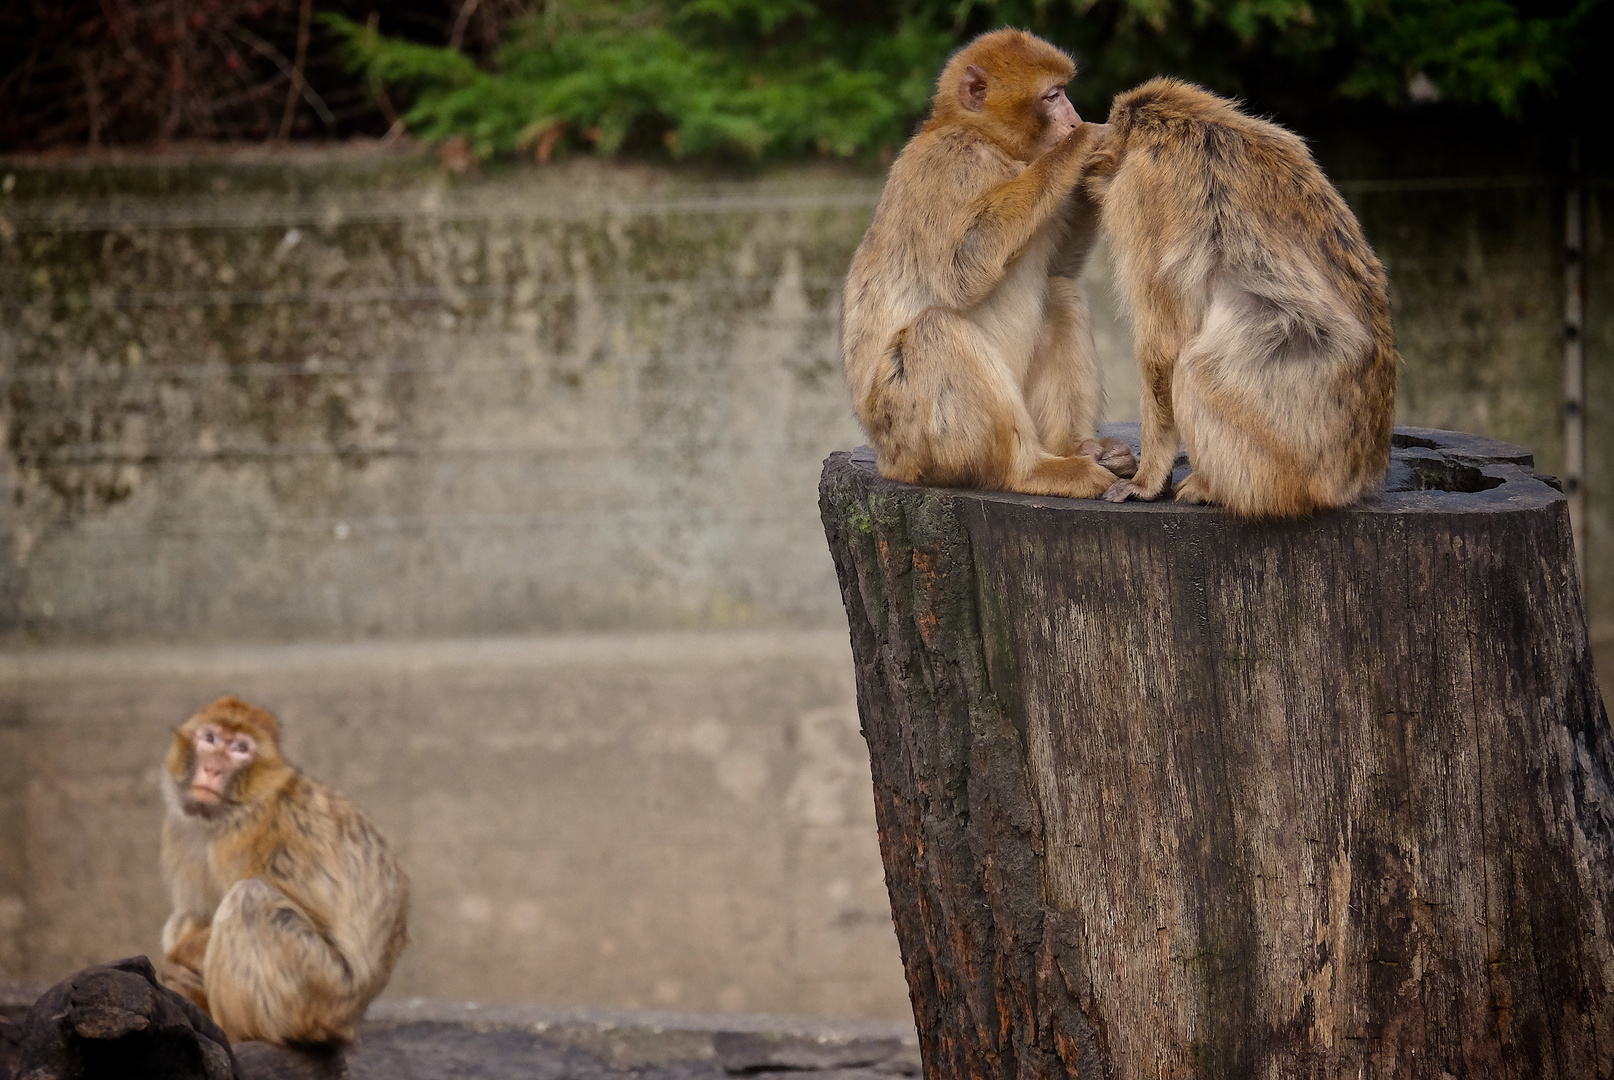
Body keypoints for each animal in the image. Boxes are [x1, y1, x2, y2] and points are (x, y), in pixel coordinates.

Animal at [158, 700, 409, 1046]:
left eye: (240, 749)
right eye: (210, 738)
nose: (212, 769)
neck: (235, 812)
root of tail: (350, 1021)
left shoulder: (248, 834)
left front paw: (176, 963)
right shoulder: (181, 832)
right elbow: (195, 912)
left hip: (319, 992)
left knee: (250, 899)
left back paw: (235, 1034)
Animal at [845, 27, 1136, 493]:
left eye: (1065, 91)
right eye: (1053, 96)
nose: (1074, 120)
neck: (989, 143)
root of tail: (888, 461)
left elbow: (1059, 269)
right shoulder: (951, 164)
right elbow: (959, 272)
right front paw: (1082, 144)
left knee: (1059, 294)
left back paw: (1077, 448)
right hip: (913, 437)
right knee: (933, 330)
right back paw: (1031, 469)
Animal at [1084, 77, 1400, 516]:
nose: (1092, 147)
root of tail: (1356, 479)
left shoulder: (1142, 189)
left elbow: (1163, 348)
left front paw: (1147, 479)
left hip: (1285, 449)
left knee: (1199, 366)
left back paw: (1213, 487)